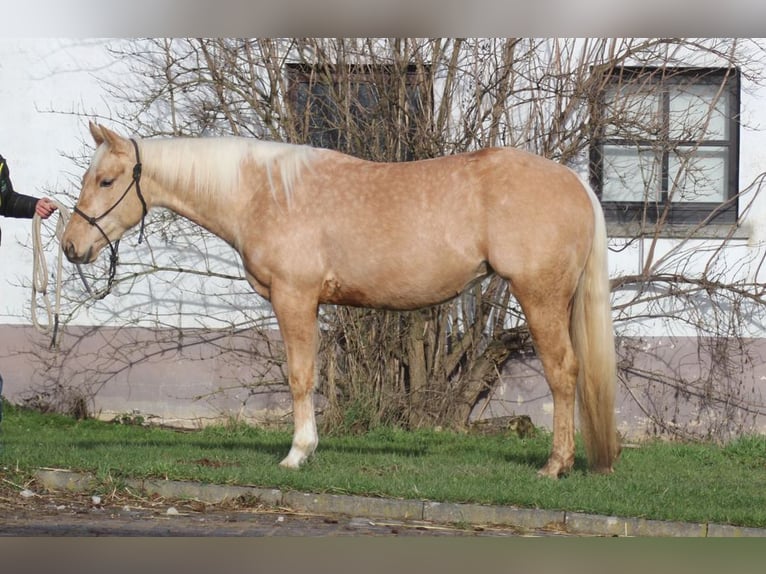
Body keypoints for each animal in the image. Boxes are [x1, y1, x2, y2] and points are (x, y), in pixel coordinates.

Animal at [62, 122, 619, 478]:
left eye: (106, 180)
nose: (72, 246)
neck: (263, 193)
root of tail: (574, 182)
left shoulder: (294, 297)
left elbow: (300, 376)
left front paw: (297, 454)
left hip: (540, 296)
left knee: (563, 372)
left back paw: (555, 466)